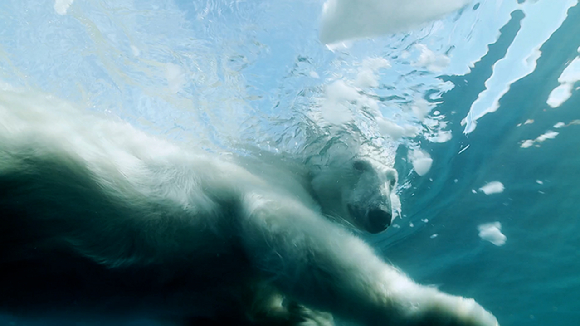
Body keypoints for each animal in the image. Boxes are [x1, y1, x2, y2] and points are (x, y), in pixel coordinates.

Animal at [0, 90, 498, 326]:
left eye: (394, 179)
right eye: (359, 165)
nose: (382, 215)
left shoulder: (200, 285)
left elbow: (227, 304)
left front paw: (304, 316)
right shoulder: (258, 187)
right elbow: (300, 244)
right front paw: (458, 312)